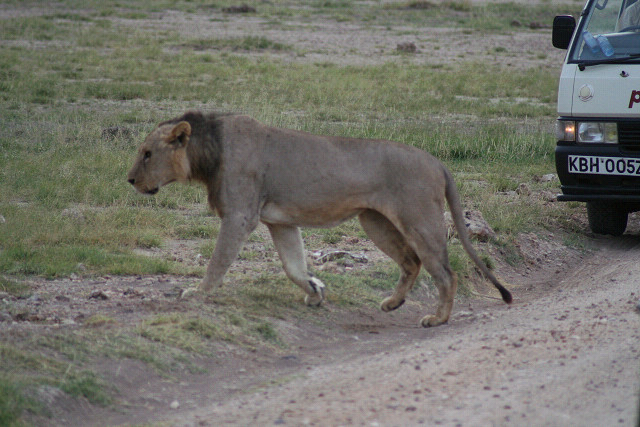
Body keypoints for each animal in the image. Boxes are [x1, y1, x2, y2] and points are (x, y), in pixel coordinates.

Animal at [127, 111, 512, 328]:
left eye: (147, 154)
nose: (129, 180)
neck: (208, 154)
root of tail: (437, 161)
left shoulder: (240, 216)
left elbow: (218, 261)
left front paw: (198, 292)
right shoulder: (280, 222)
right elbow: (293, 265)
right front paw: (315, 291)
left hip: (418, 219)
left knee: (446, 272)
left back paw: (437, 319)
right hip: (375, 222)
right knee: (411, 262)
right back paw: (393, 303)